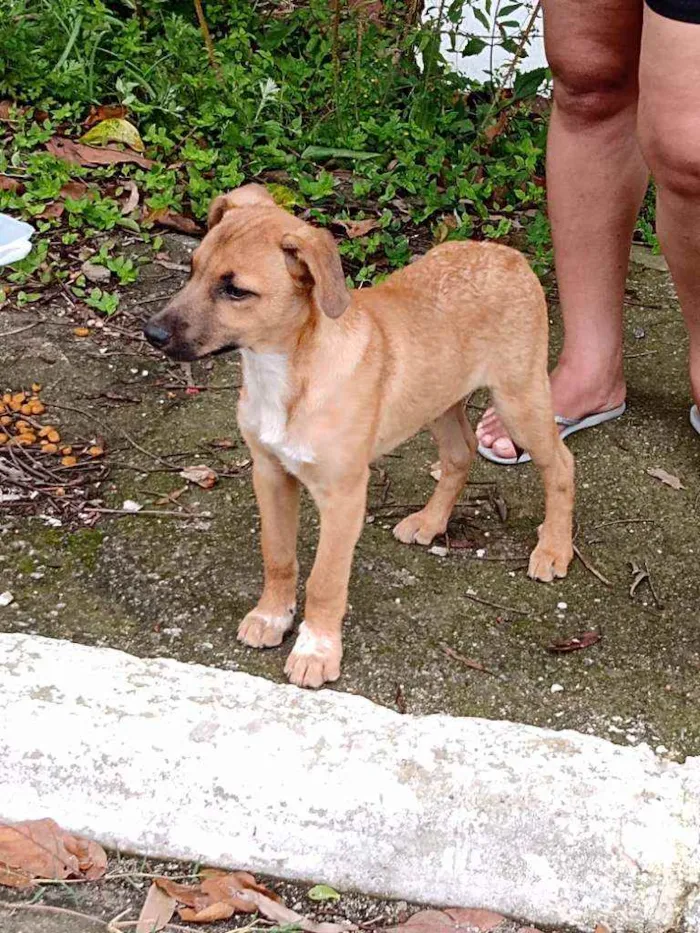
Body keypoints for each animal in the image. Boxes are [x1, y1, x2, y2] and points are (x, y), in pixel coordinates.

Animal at [146, 186, 576, 688]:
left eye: (236, 290)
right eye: (193, 268)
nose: (151, 333)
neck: (287, 373)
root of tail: (507, 254)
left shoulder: (344, 496)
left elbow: (325, 581)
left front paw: (316, 649)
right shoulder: (270, 474)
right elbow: (278, 555)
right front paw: (272, 616)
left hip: (519, 400)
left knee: (561, 464)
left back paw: (554, 549)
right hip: (438, 400)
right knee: (460, 454)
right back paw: (430, 522)